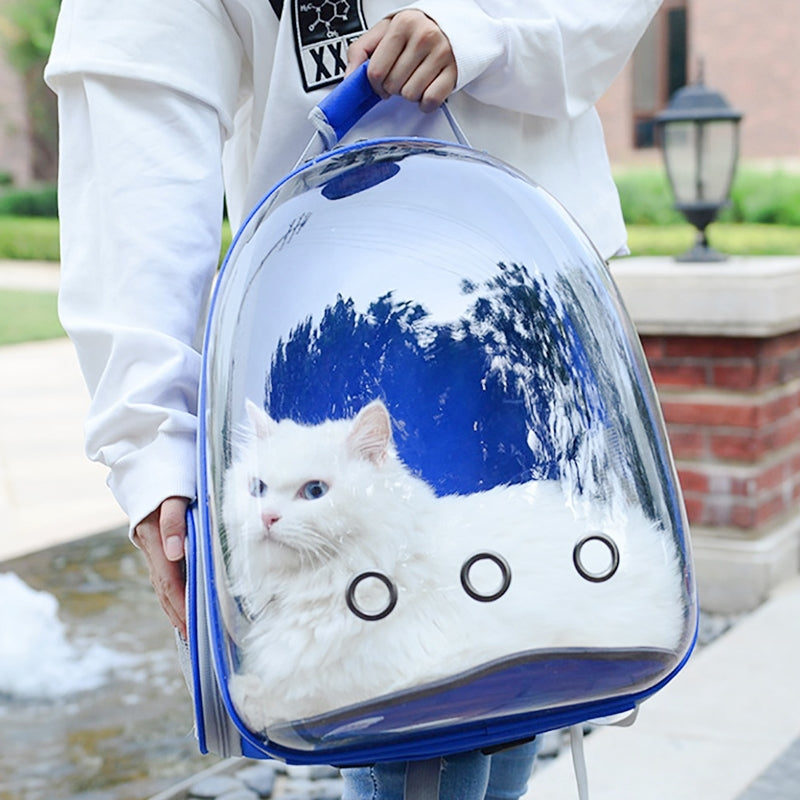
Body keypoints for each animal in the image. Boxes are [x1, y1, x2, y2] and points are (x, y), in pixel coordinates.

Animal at [222, 400, 684, 732]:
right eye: (257, 488)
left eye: (315, 491)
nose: (267, 518)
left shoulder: (381, 683)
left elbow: (288, 702)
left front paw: (243, 694)